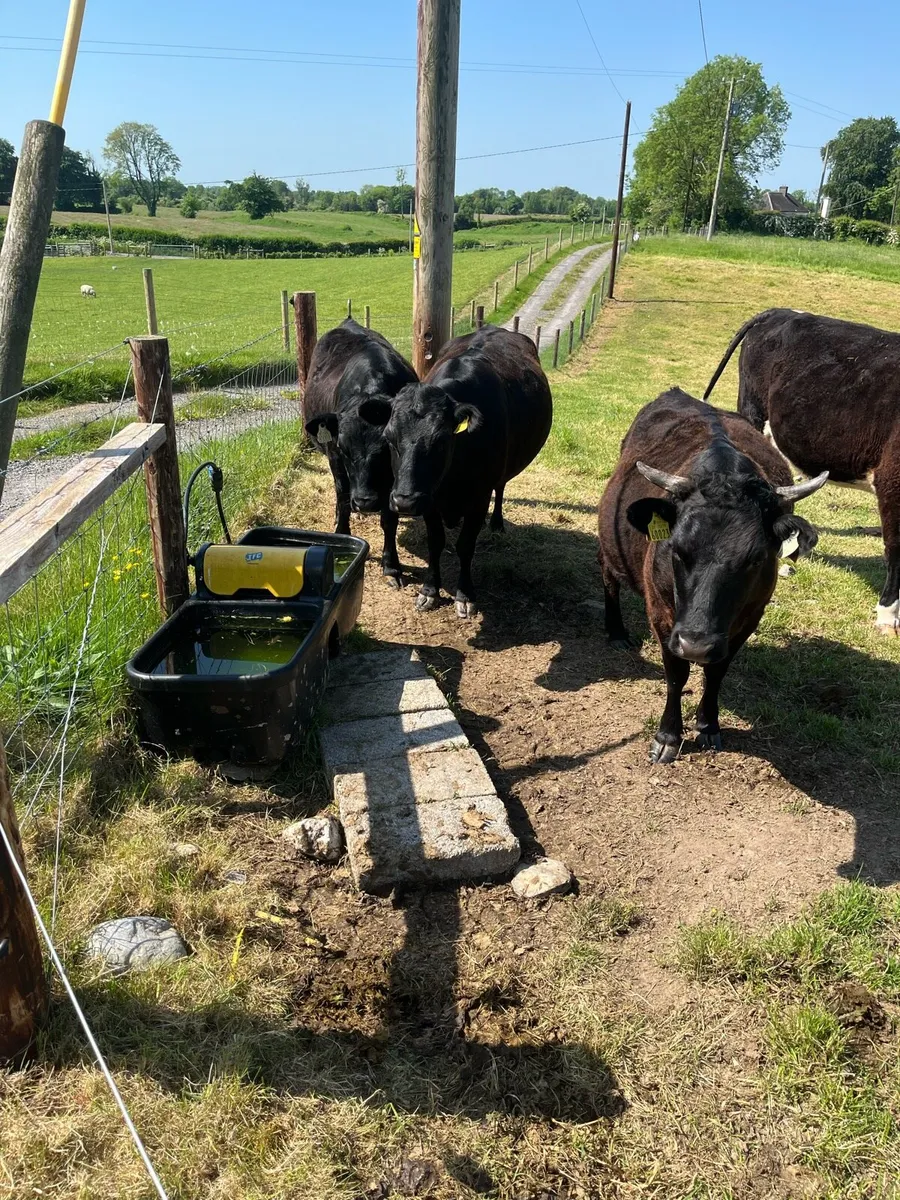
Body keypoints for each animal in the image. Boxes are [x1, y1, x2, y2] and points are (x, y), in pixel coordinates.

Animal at [303, 319, 417, 587]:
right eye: (343, 448)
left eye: (388, 448)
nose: (365, 502)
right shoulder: (334, 458)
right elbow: (343, 498)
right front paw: (341, 537)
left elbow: (389, 519)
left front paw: (391, 565)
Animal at [357, 324, 553, 618]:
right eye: (389, 438)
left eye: (441, 441)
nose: (404, 501)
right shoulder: (429, 499)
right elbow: (436, 542)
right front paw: (429, 590)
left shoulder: (478, 497)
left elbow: (465, 545)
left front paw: (465, 594)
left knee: (501, 487)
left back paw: (496, 523)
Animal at [597, 388, 826, 764]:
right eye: (677, 550)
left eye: (755, 559)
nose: (697, 644)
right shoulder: (661, 614)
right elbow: (676, 674)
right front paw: (667, 737)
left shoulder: (750, 617)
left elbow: (716, 672)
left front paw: (708, 726)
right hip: (610, 547)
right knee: (608, 578)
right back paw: (616, 632)